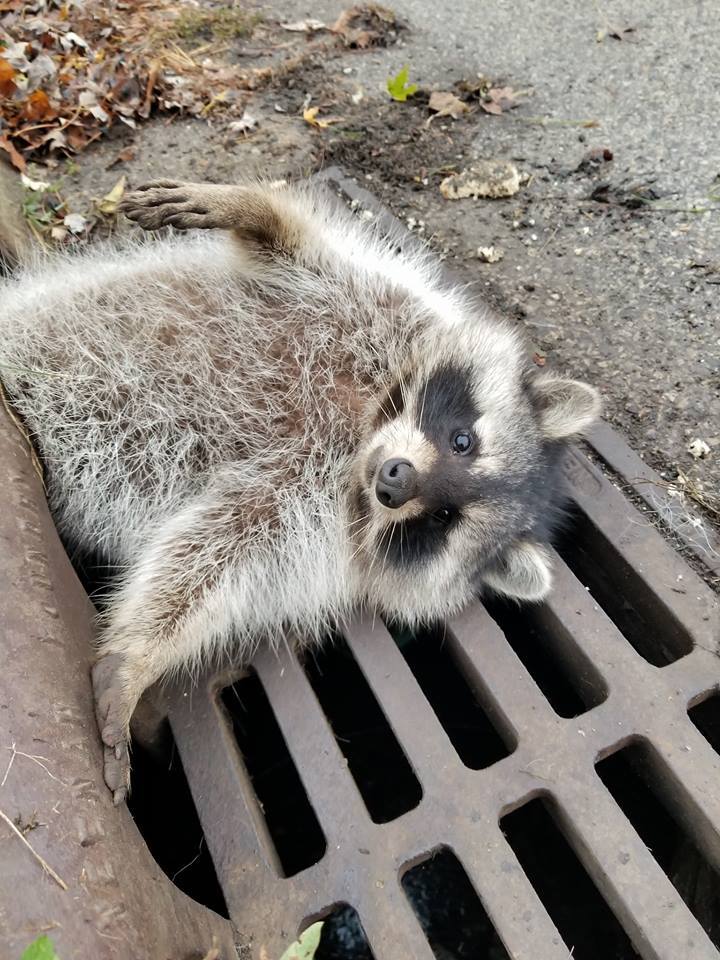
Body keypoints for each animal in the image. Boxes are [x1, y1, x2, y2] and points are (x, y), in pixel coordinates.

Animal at [0, 180, 600, 804]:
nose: (395, 482)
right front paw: (247, 207)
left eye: (441, 519)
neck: (360, 432)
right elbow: (297, 254)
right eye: (463, 442)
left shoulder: (299, 515)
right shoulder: (378, 305)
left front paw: (135, 656)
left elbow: (214, 558)